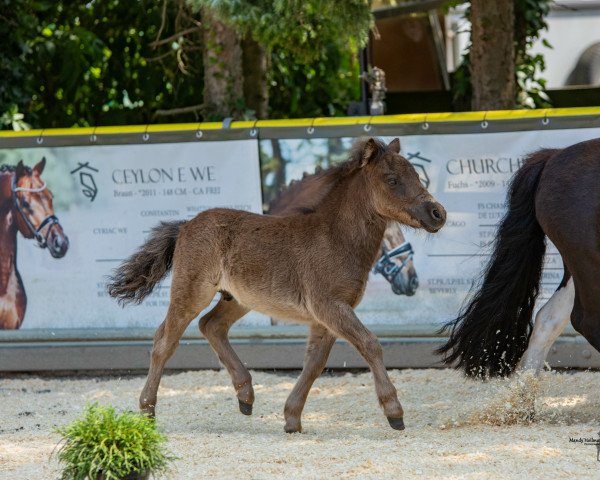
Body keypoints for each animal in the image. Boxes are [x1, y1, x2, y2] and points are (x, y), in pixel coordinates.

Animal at [108, 137, 446, 434]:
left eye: (416, 175)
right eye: (392, 180)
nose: (438, 213)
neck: (335, 238)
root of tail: (186, 225)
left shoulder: (326, 316)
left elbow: (315, 362)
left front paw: (292, 419)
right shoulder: (330, 306)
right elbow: (370, 344)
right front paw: (394, 413)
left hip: (238, 298)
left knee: (211, 325)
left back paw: (245, 396)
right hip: (192, 291)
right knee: (165, 340)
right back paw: (147, 411)